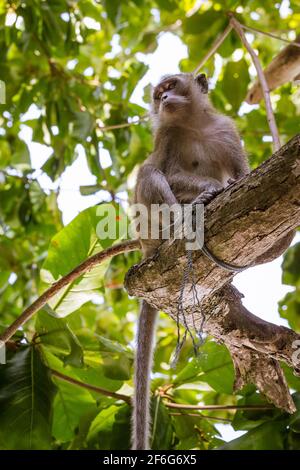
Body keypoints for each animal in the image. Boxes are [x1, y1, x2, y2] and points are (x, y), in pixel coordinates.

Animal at [132, 71, 296, 450]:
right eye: (158, 94)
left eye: (171, 87)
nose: (164, 99)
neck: (194, 125)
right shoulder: (166, 135)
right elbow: (163, 170)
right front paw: (208, 188)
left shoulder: (227, 131)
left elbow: (241, 170)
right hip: (149, 229)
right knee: (149, 174)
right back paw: (184, 217)